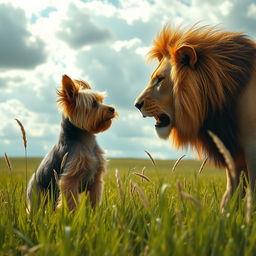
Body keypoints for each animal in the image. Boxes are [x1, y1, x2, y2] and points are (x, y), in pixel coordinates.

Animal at [27, 74, 117, 210]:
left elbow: (94, 200)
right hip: (39, 196)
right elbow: (71, 202)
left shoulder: (96, 179)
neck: (86, 138)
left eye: (101, 101)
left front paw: (95, 213)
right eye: (93, 104)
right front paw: (71, 214)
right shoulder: (70, 179)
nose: (112, 109)